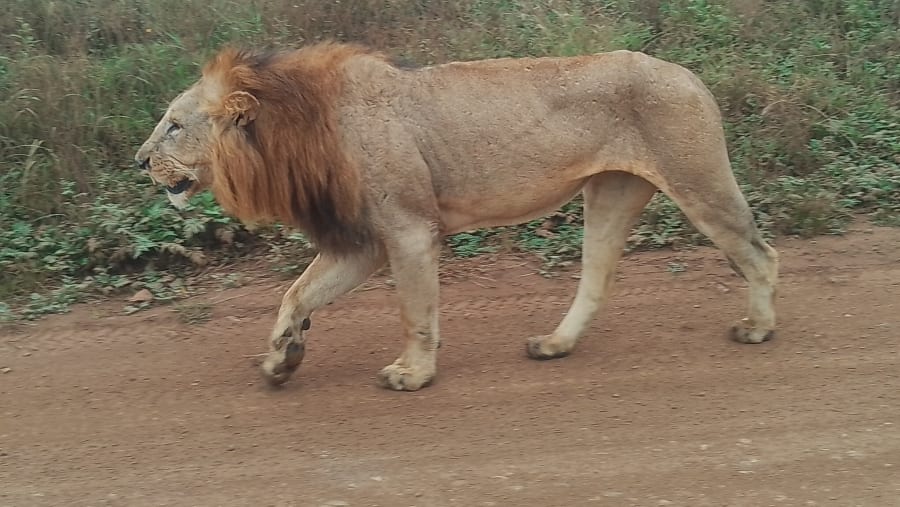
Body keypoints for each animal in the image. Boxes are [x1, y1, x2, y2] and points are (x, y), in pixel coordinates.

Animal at [135, 42, 779, 391]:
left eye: (174, 126)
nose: (140, 161)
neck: (290, 130)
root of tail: (687, 72)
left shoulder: (408, 229)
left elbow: (415, 312)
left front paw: (413, 374)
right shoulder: (361, 242)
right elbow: (296, 295)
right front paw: (280, 360)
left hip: (698, 180)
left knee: (761, 254)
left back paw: (759, 329)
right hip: (610, 194)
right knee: (596, 280)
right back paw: (555, 344)